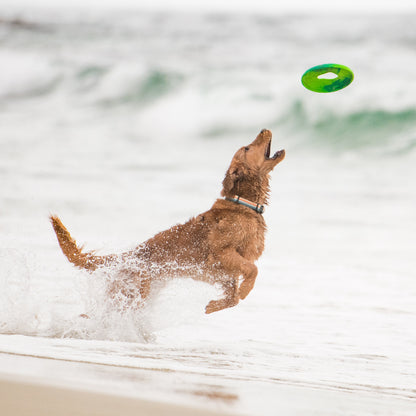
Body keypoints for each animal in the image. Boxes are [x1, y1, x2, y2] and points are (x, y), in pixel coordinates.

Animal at [50, 128, 284, 314]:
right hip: (132, 296)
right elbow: (252, 270)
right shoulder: (221, 253)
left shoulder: (226, 274)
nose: (264, 129)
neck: (243, 204)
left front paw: (214, 306)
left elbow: (233, 297)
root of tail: (127, 256)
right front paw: (245, 290)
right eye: (247, 148)